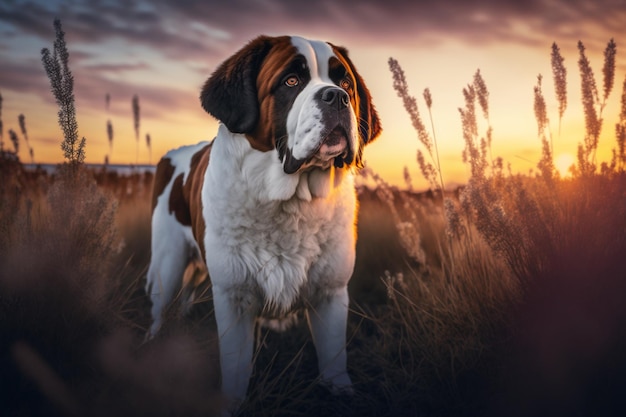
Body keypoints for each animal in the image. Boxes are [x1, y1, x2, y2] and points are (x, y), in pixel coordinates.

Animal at [146, 35, 380, 410]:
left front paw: (342, 394)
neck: (290, 201)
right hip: (169, 260)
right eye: (291, 81)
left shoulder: (331, 291)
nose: (337, 96)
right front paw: (231, 403)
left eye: (345, 84)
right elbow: (236, 364)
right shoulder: (234, 294)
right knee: (160, 307)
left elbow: (333, 358)